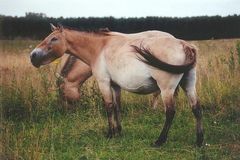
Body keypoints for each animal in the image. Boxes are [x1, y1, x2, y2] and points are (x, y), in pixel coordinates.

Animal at [29, 24, 202, 148]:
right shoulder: (115, 85)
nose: (33, 56)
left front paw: (110, 134)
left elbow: (109, 106)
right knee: (196, 108)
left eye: (54, 39)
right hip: (189, 84)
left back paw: (159, 141)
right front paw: (119, 132)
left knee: (170, 112)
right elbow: (118, 106)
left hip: (167, 89)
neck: (100, 48)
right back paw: (199, 142)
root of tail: (184, 45)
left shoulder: (104, 82)